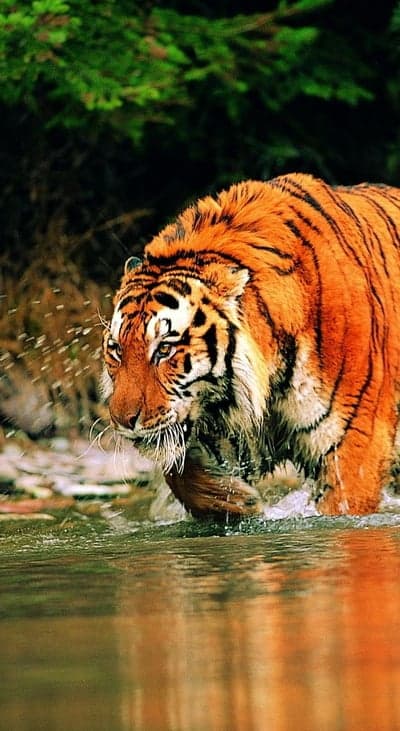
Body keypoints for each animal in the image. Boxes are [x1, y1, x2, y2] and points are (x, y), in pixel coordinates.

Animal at [102, 173, 400, 518]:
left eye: (165, 349)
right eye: (117, 349)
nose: (123, 421)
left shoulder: (354, 447)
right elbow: (180, 472)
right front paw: (235, 502)